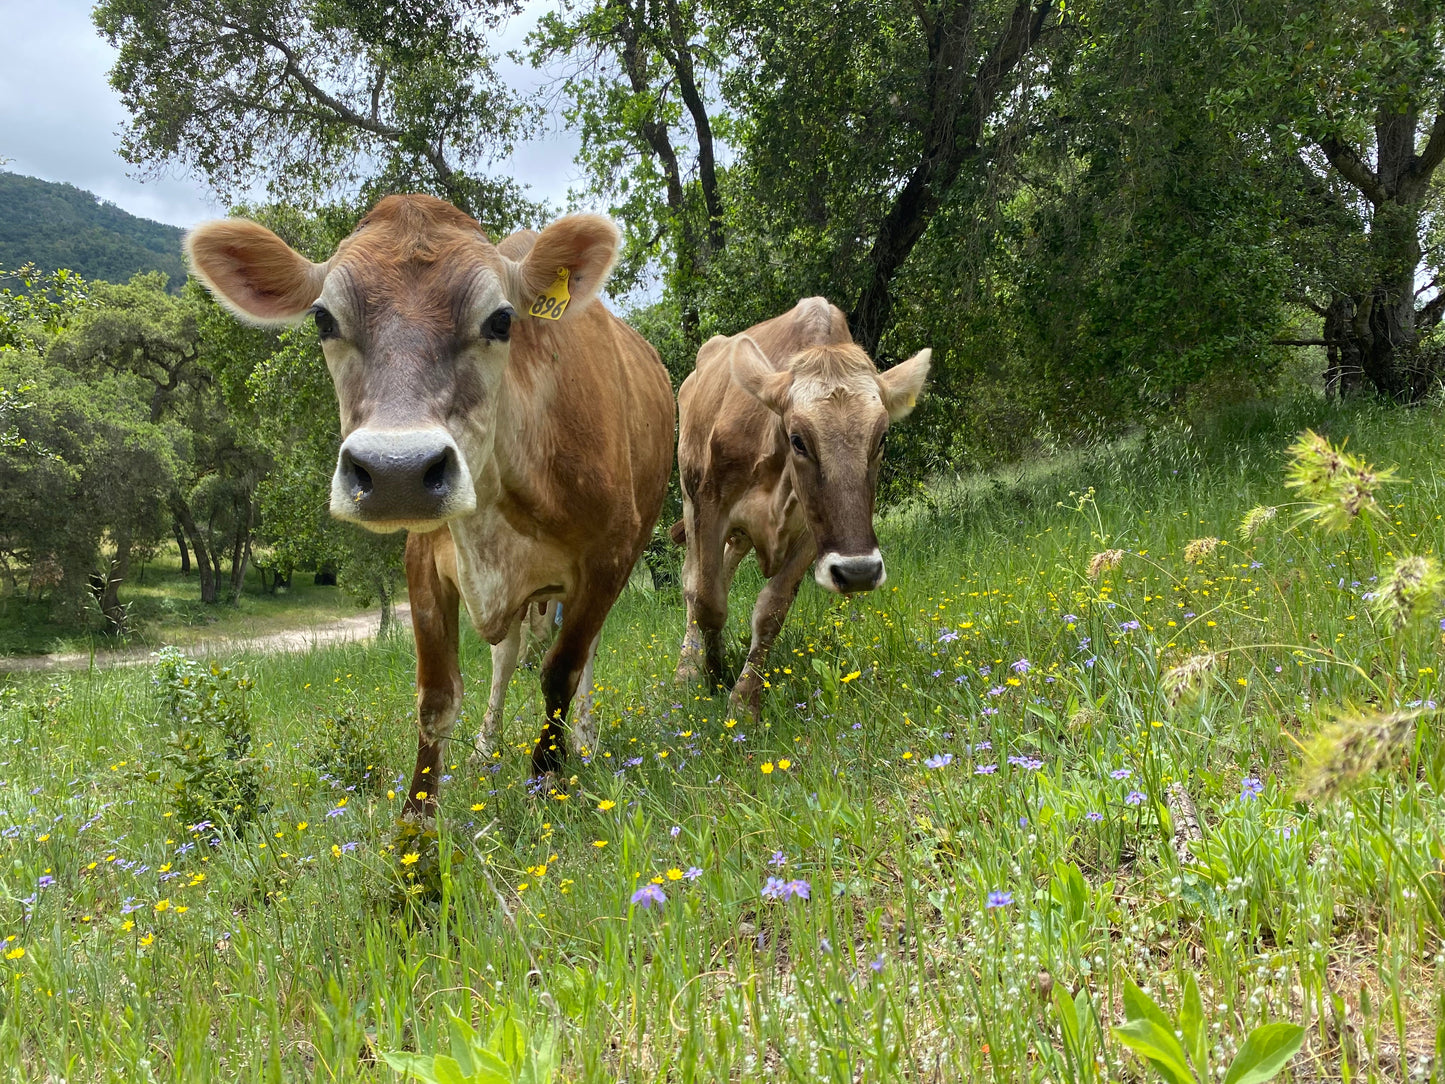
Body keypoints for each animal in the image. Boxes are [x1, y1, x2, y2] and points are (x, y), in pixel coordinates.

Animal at [185, 195, 675, 816]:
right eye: (323, 319)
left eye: (502, 320)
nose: (398, 473)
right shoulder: (423, 561)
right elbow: (438, 697)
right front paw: (417, 819)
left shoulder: (608, 557)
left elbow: (561, 673)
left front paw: (547, 780)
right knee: (505, 656)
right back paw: (487, 748)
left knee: (578, 658)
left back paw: (584, 740)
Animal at [673, 297, 929, 716]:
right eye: (798, 439)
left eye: (882, 438)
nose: (860, 573)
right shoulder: (709, 506)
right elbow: (708, 600)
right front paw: (712, 675)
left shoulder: (813, 533)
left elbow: (772, 609)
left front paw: (744, 703)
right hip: (689, 500)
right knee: (693, 583)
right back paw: (686, 667)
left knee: (725, 567)